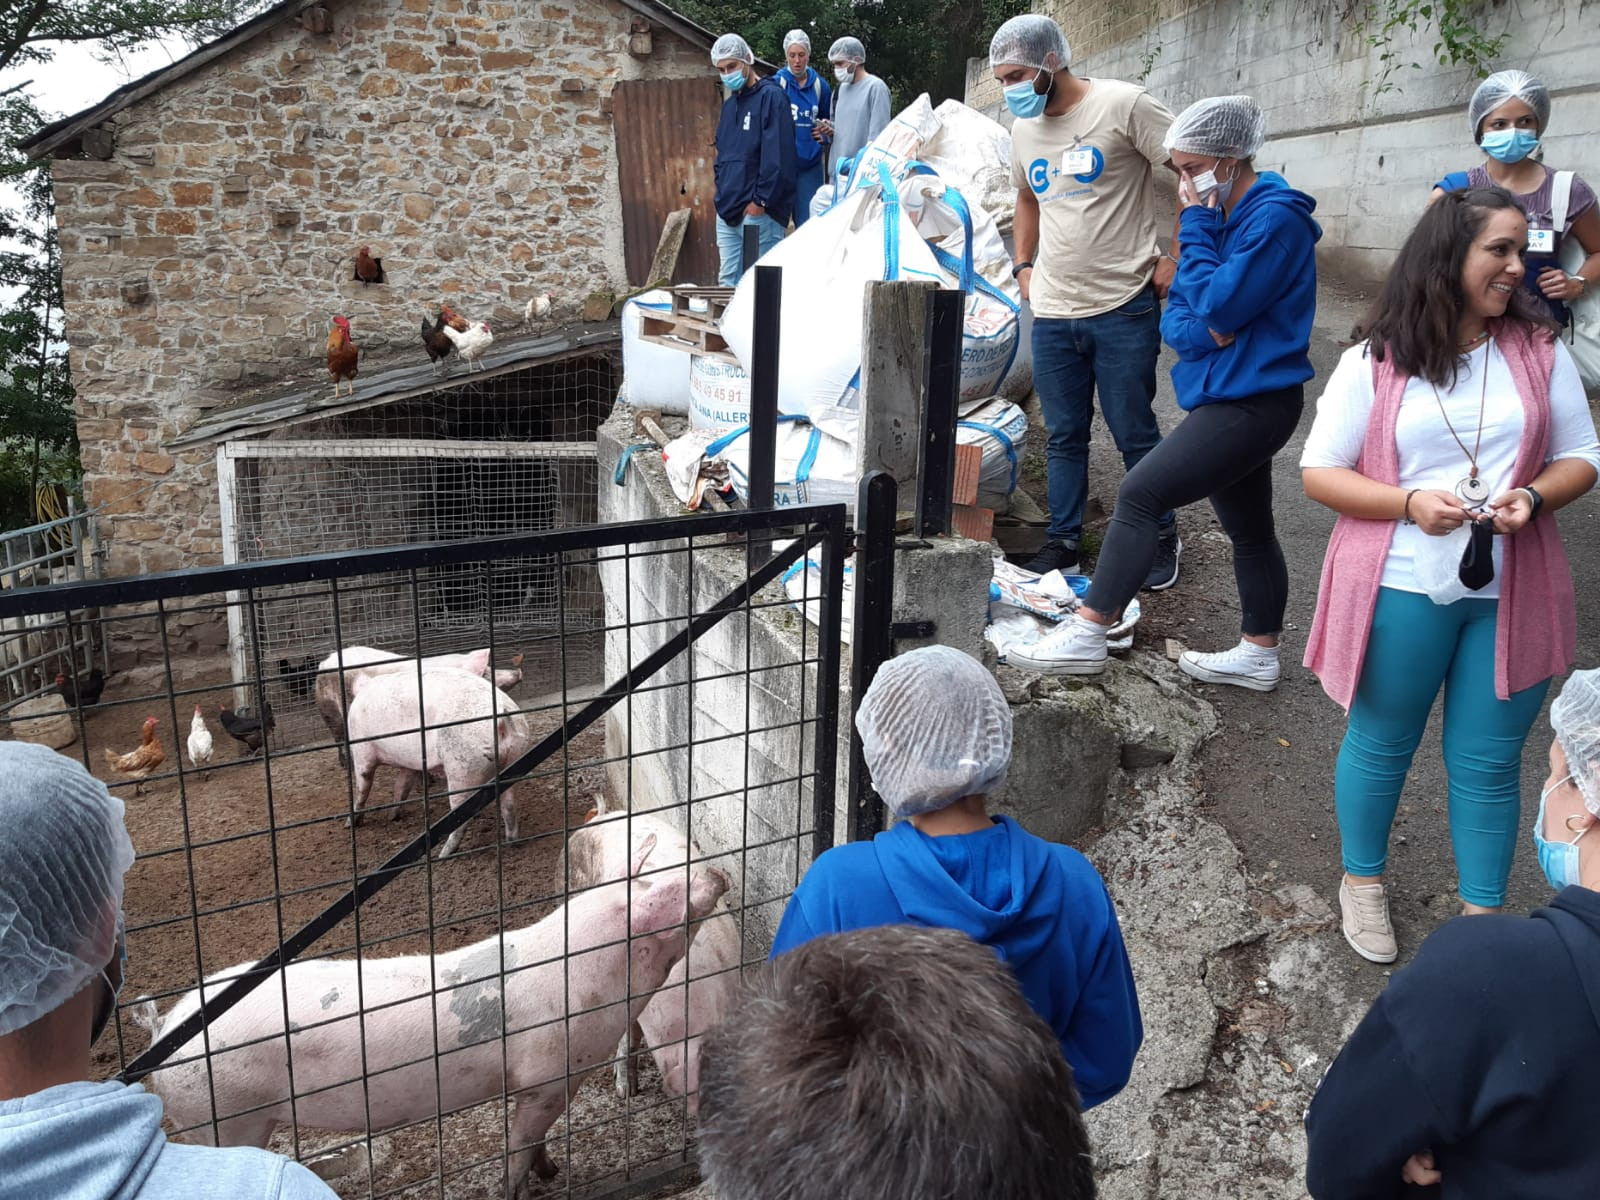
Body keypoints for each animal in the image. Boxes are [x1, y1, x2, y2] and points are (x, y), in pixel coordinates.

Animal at [134, 838, 732, 1196]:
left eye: (653, 880)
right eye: (670, 896)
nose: (720, 873)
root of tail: (162, 1032)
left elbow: (537, 1139)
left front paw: (552, 1170)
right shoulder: (546, 1077)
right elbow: (521, 1142)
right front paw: (525, 1185)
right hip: (224, 1116)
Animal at [315, 649, 528, 771]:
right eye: (486, 673)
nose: (519, 672)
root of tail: (325, 662)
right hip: (330, 709)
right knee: (340, 736)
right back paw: (347, 766)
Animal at [344, 672, 531, 857]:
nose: (392, 817)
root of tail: (504, 718)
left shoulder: (362, 750)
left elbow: (363, 786)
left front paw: (350, 824)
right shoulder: (411, 765)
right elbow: (401, 786)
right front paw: (392, 817)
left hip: (462, 769)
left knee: (463, 817)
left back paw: (443, 854)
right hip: (515, 759)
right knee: (509, 804)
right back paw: (512, 842)